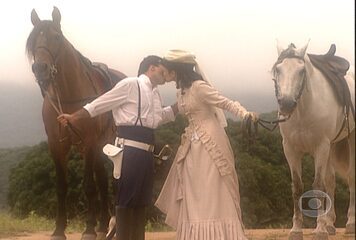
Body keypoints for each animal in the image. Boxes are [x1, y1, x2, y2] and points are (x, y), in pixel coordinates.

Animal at [25, 6, 125, 239]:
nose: (40, 68)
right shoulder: (57, 144)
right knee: (102, 179)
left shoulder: (89, 141)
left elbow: (88, 185)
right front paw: (59, 228)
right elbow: (62, 185)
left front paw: (88, 228)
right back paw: (103, 224)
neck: (69, 95)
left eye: (56, 37)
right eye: (33, 41)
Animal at [272, 42, 354, 239]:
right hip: (332, 145)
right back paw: (331, 224)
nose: (286, 104)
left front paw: (320, 229)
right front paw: (296, 229)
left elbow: (318, 185)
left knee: (351, 177)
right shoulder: (290, 150)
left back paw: (350, 222)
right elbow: (297, 186)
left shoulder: (321, 147)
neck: (303, 110)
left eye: (302, 71)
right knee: (331, 181)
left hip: (350, 140)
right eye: (278, 69)